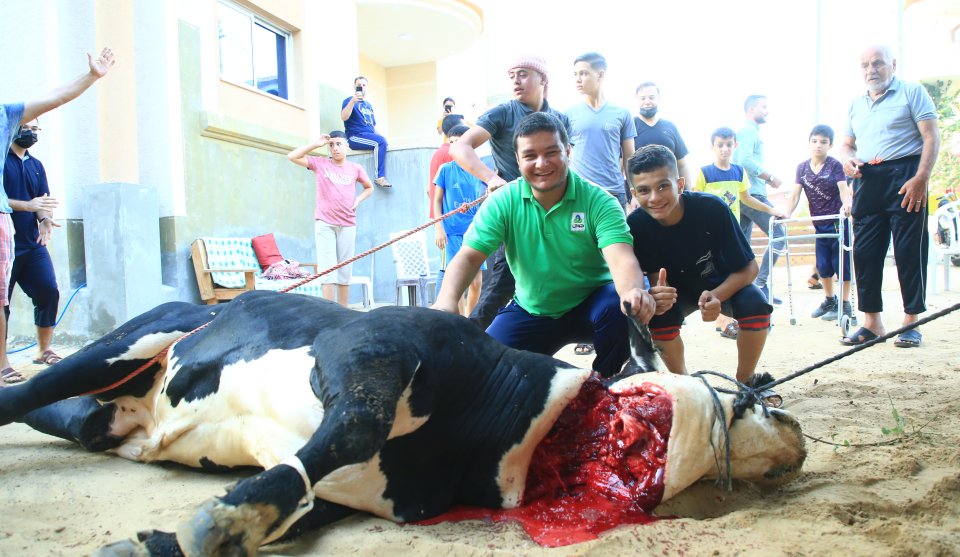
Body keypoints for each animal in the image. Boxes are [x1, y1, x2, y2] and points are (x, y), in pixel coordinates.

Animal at [0, 290, 806, 557]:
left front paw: (161, 540)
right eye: (747, 402)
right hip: (130, 340)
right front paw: (225, 520)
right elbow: (355, 426)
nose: (798, 439)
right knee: (26, 391)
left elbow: (299, 503)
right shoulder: (371, 344)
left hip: (106, 417)